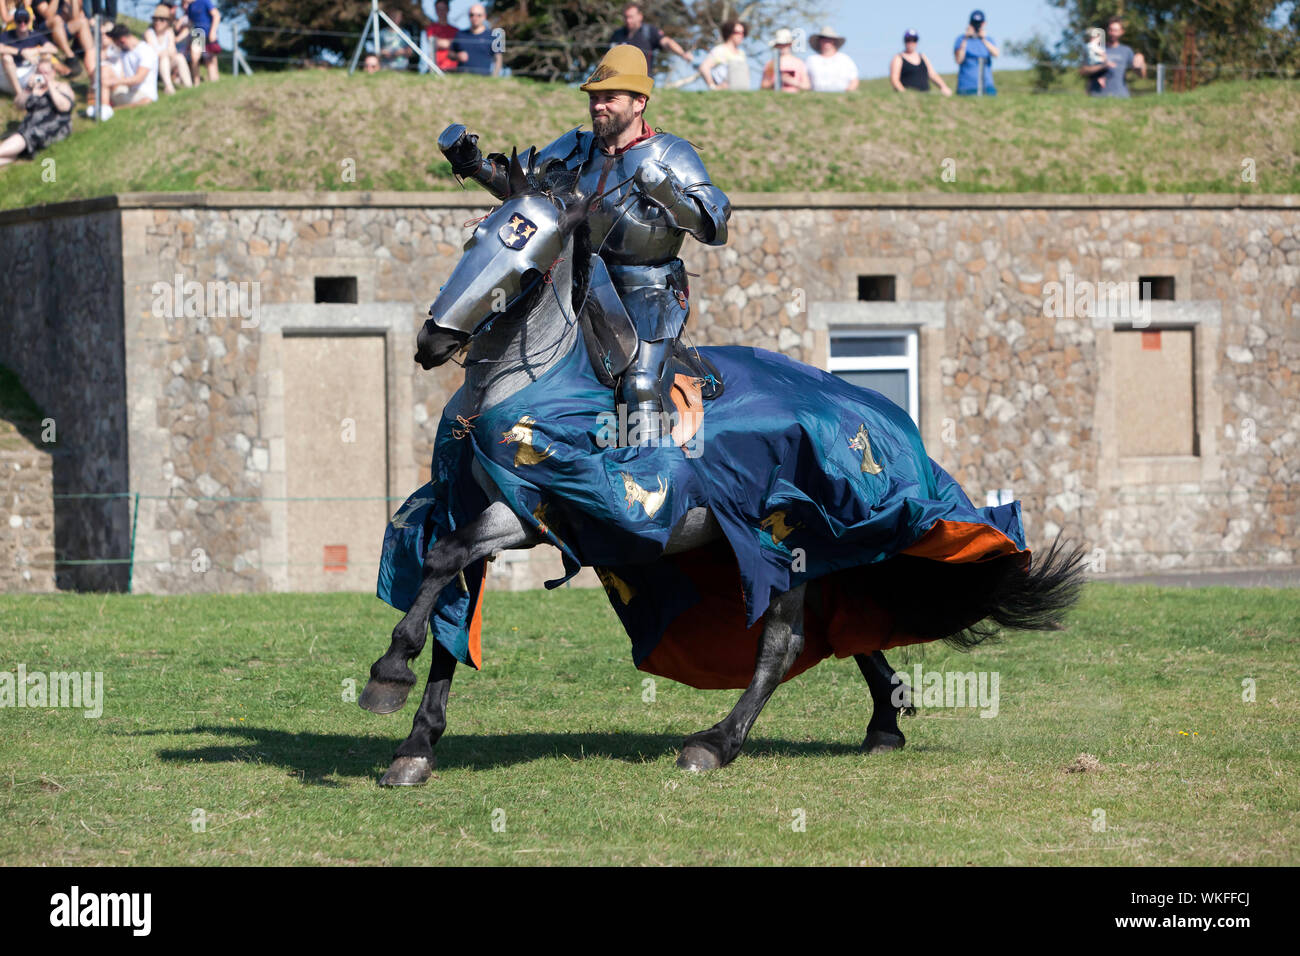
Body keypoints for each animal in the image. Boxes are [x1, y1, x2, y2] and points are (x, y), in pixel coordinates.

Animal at [358, 155, 1086, 785]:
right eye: (474, 238)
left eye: (528, 252)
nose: (431, 341)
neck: (527, 384)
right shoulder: (475, 505)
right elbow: (449, 608)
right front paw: (416, 744)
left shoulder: (536, 510)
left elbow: (442, 560)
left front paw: (390, 671)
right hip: (811, 547)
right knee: (847, 624)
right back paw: (885, 720)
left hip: (789, 537)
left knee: (785, 642)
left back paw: (716, 743)